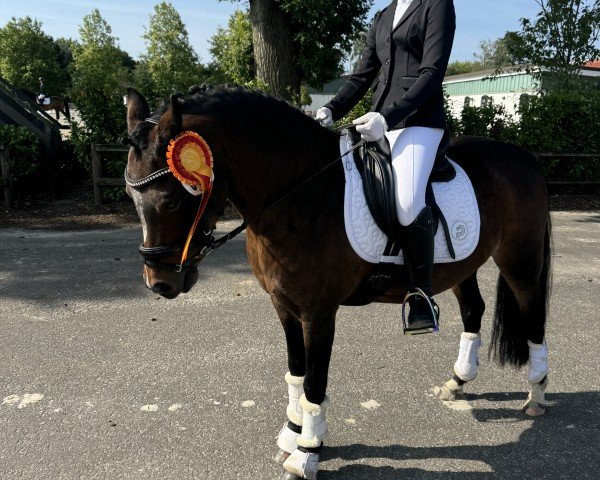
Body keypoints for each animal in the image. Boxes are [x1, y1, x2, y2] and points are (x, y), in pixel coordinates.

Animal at [124, 86, 552, 480]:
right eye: (131, 195)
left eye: (171, 201)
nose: (159, 284)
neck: (300, 195)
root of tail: (522, 157)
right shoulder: (283, 306)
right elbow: (296, 373)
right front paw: (292, 433)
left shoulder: (319, 312)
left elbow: (315, 381)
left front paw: (306, 454)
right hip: (462, 265)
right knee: (473, 310)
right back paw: (458, 381)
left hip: (519, 259)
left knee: (533, 314)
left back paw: (536, 392)